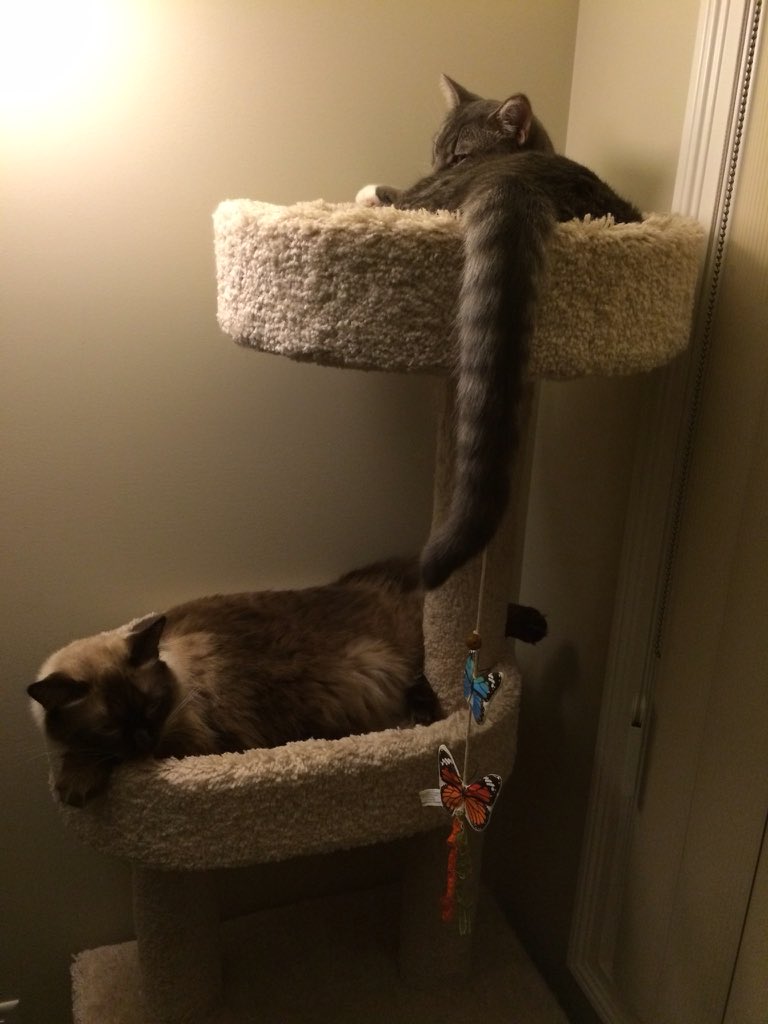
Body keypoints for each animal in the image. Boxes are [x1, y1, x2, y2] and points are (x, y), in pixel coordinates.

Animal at [27, 557, 437, 807]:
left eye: (152, 707)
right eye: (110, 726)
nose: (144, 741)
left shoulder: (190, 741)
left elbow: (102, 757)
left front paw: (75, 783)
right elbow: (93, 751)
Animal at [357, 76, 642, 588]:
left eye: (459, 156)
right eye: (435, 150)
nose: (436, 167)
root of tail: (520, 178)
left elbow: (389, 193)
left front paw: (369, 191)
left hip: (428, 203)